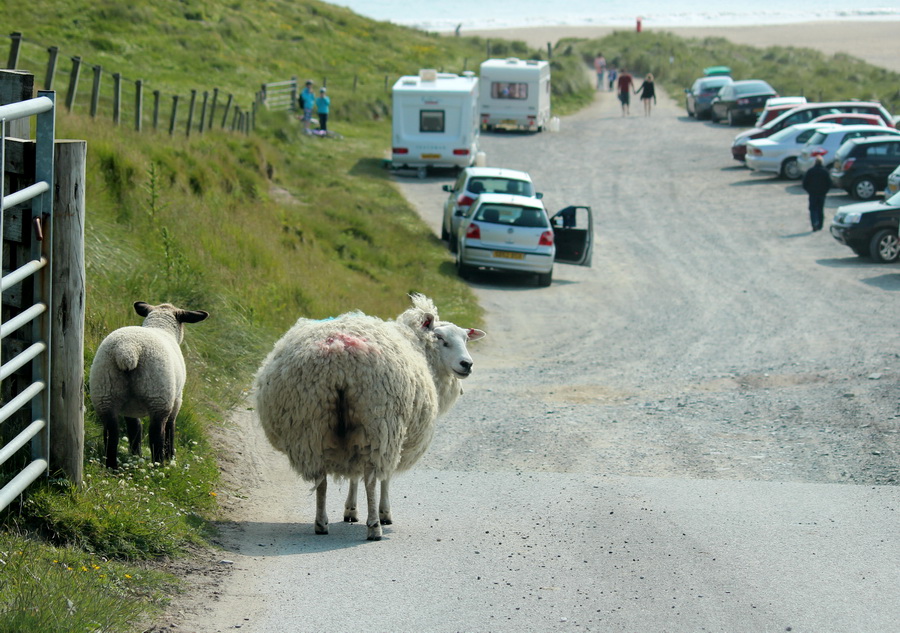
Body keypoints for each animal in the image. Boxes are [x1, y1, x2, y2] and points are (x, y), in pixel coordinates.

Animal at [91, 302, 211, 470]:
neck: (161, 326)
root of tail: (128, 349)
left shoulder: (130, 408)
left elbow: (134, 428)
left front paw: (136, 454)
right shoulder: (177, 400)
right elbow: (170, 428)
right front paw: (171, 456)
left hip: (104, 393)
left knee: (111, 433)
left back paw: (112, 467)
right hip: (159, 396)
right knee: (156, 433)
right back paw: (160, 464)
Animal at [251, 294, 486, 540]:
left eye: (466, 339)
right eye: (440, 338)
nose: (467, 364)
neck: (417, 344)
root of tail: (338, 356)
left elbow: (353, 473)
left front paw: (350, 510)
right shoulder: (392, 433)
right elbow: (384, 477)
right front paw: (383, 513)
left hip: (311, 421)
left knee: (321, 478)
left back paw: (321, 523)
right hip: (379, 421)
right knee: (372, 477)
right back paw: (374, 526)